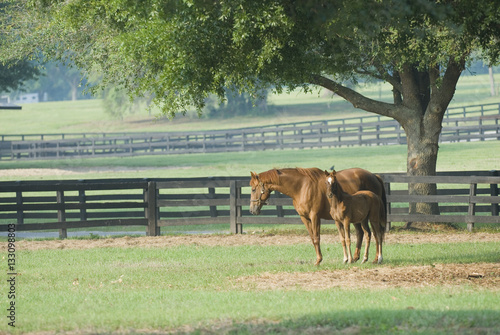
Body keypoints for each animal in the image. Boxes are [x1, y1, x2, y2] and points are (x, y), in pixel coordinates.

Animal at [250, 167, 386, 266]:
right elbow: (312, 238)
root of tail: (374, 176)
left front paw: (319, 260)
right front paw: (319, 259)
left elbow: (316, 238)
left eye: (253, 189)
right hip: (359, 218)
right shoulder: (304, 218)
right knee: (363, 233)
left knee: (376, 234)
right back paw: (359, 257)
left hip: (371, 217)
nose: (252, 210)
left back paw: (375, 259)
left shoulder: (315, 216)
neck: (301, 187)